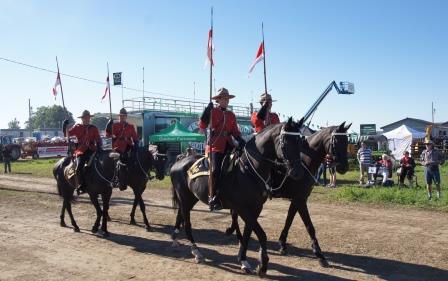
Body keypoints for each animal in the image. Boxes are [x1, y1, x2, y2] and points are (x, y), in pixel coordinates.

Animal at [170, 116, 306, 276]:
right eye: (285, 142)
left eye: (300, 142)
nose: (298, 172)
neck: (248, 169)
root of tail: (179, 161)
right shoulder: (243, 209)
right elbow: (261, 234)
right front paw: (263, 264)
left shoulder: (255, 208)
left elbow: (248, 233)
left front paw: (243, 260)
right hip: (185, 198)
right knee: (187, 224)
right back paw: (196, 251)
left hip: (190, 199)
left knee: (180, 216)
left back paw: (175, 239)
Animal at [226, 121, 352, 266]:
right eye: (336, 141)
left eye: (347, 141)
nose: (344, 167)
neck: (304, 161)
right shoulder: (300, 199)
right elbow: (309, 226)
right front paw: (319, 254)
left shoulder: (298, 199)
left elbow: (289, 219)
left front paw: (282, 243)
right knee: (235, 212)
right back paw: (237, 235)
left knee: (235, 212)